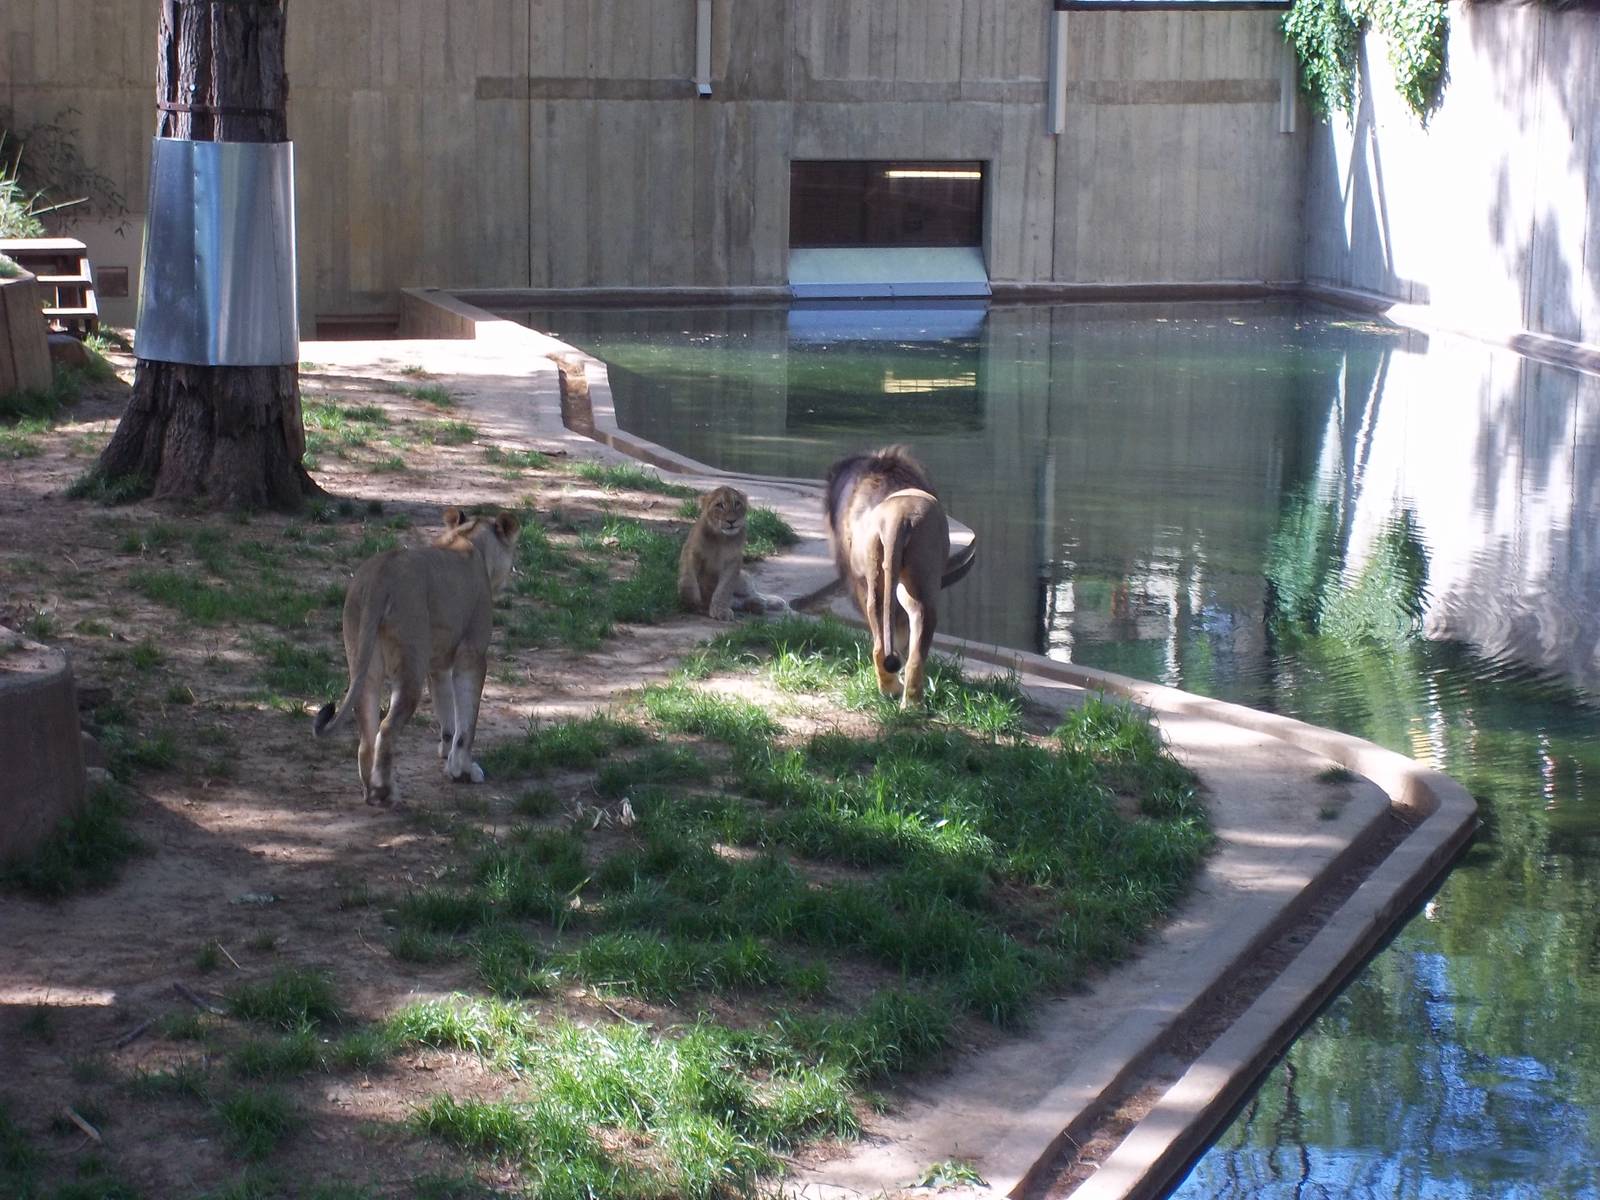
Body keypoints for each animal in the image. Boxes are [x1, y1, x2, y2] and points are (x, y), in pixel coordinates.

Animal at [312, 507, 520, 807]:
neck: (469, 538)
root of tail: (380, 575)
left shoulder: (438, 664)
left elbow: (447, 715)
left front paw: (447, 755)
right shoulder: (471, 656)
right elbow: (467, 723)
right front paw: (463, 770)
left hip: (365, 661)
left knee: (367, 732)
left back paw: (369, 790)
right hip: (410, 665)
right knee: (386, 728)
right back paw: (386, 793)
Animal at [678, 485, 788, 621]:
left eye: (737, 504)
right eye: (719, 505)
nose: (731, 521)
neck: (721, 538)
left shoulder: (733, 561)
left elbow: (724, 588)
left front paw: (720, 611)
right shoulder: (691, 552)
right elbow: (688, 577)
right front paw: (690, 601)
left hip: (743, 580)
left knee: (753, 592)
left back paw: (769, 602)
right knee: (741, 601)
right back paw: (756, 604)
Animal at [824, 446, 950, 707]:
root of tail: (898, 517)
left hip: (880, 582)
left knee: (882, 645)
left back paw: (898, 695)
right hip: (919, 584)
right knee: (915, 644)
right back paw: (908, 700)